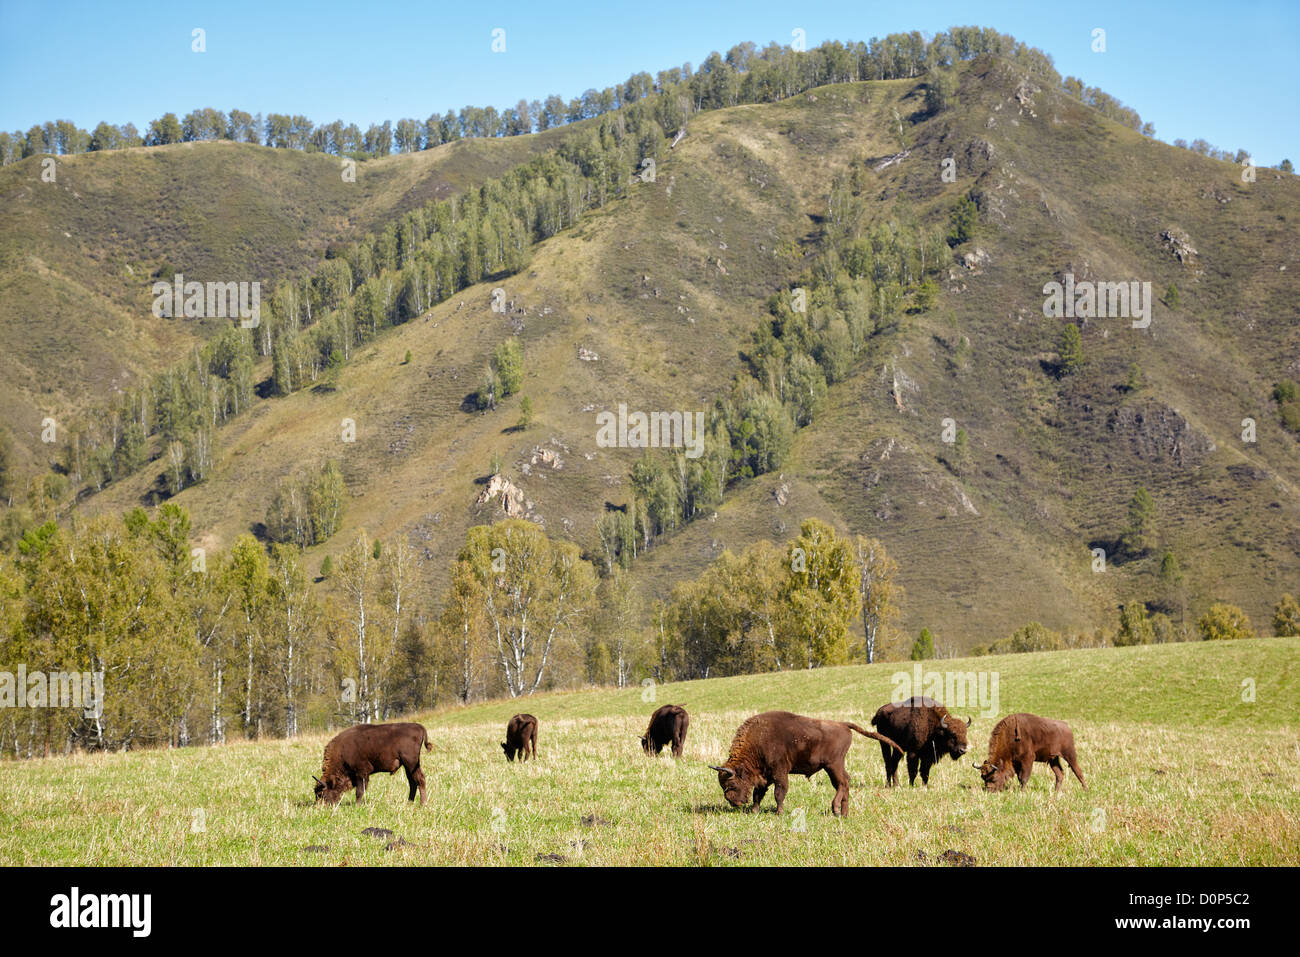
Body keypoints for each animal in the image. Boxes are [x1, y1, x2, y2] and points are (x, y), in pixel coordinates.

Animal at [712, 712, 904, 816]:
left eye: (731, 783)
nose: (732, 802)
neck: (758, 741)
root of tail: (843, 725)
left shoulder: (780, 773)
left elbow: (779, 793)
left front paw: (779, 812)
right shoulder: (763, 777)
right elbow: (758, 795)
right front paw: (754, 811)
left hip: (833, 765)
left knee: (843, 782)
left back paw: (835, 809)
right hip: (834, 766)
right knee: (844, 783)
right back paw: (844, 812)